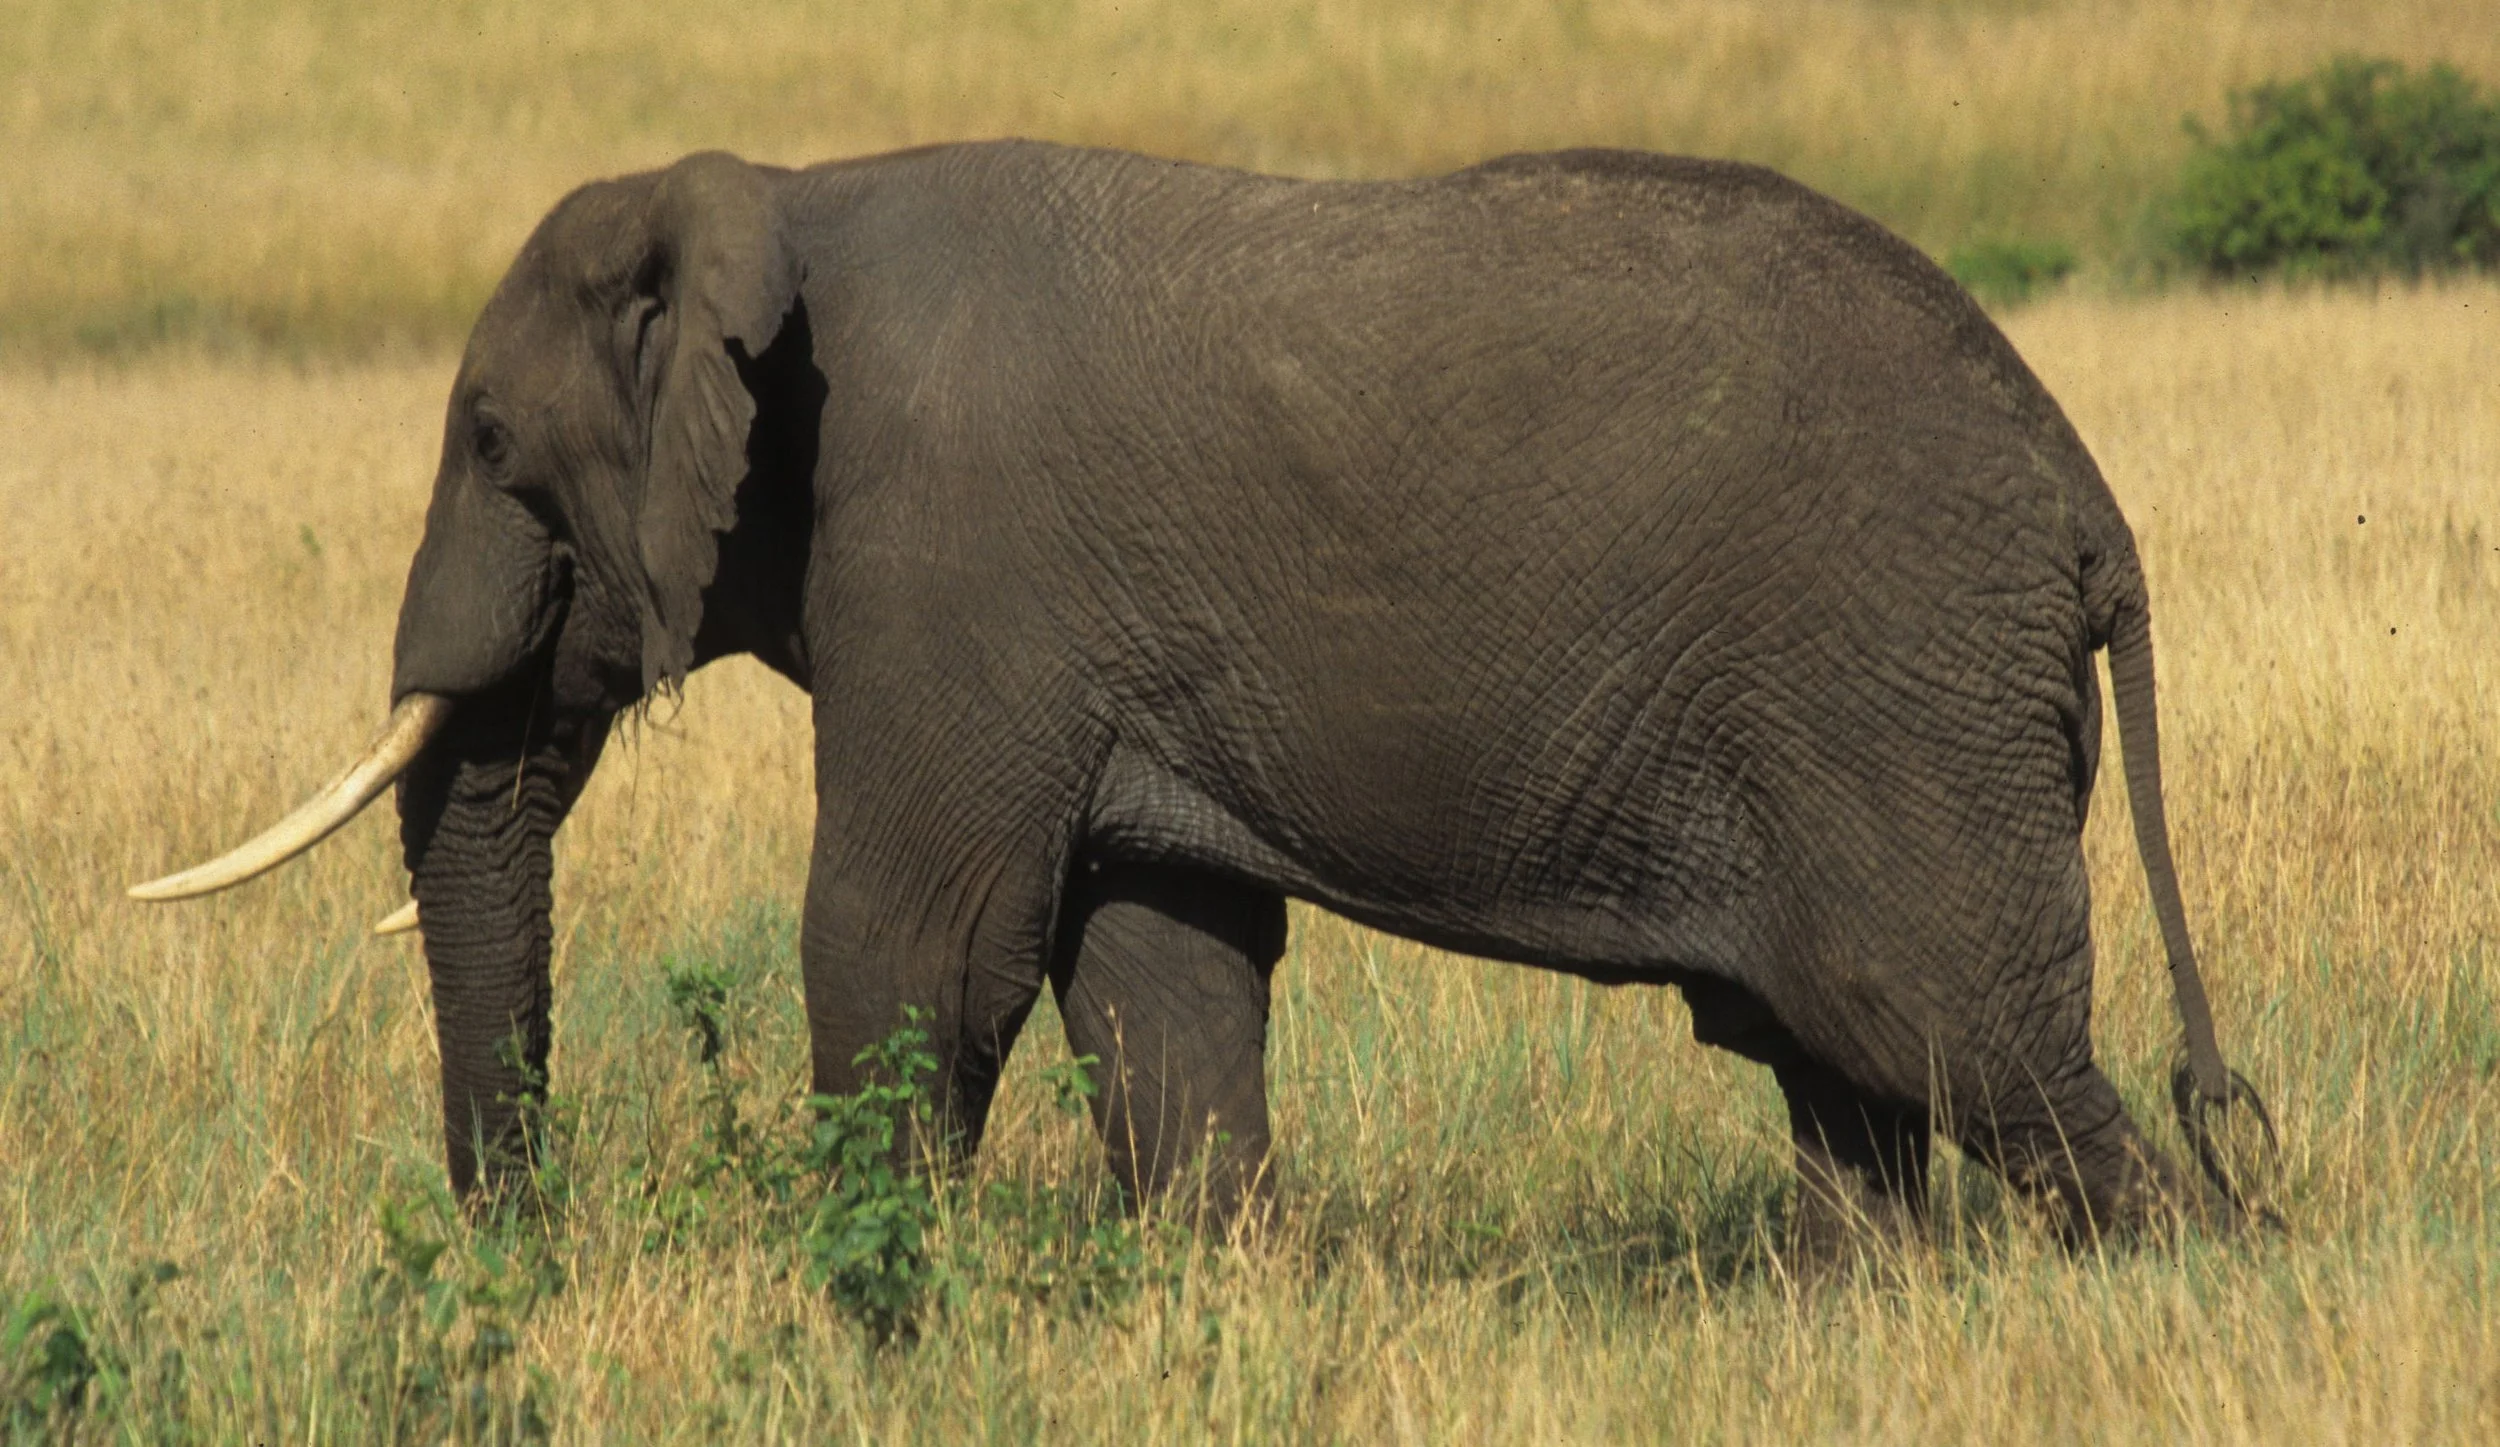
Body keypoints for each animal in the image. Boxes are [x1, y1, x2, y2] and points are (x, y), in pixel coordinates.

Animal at [135, 140, 2272, 1252]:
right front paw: (1207, 1285)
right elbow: (1156, 958)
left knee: (1954, 1033)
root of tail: (2089, 504)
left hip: (1893, 693)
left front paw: (873, 1302)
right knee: (1849, 1078)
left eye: (493, 443)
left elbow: (915, 934)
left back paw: (2186, 1285)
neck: (776, 194)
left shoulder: (947, 556)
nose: (523, 1238)